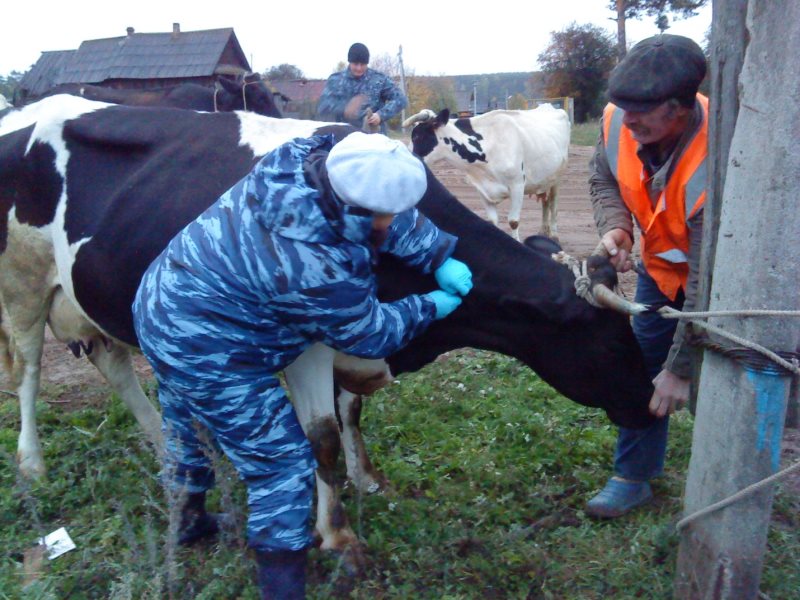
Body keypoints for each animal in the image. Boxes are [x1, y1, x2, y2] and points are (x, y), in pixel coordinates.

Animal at [0, 96, 652, 564]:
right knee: (28, 370)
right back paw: (33, 465)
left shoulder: (352, 341)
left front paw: (368, 480)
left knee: (112, 363)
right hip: (23, 284)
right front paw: (337, 538)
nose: (651, 407)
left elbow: (351, 416)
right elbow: (321, 437)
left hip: (88, 291)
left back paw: (168, 452)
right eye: (611, 341)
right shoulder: (310, 342)